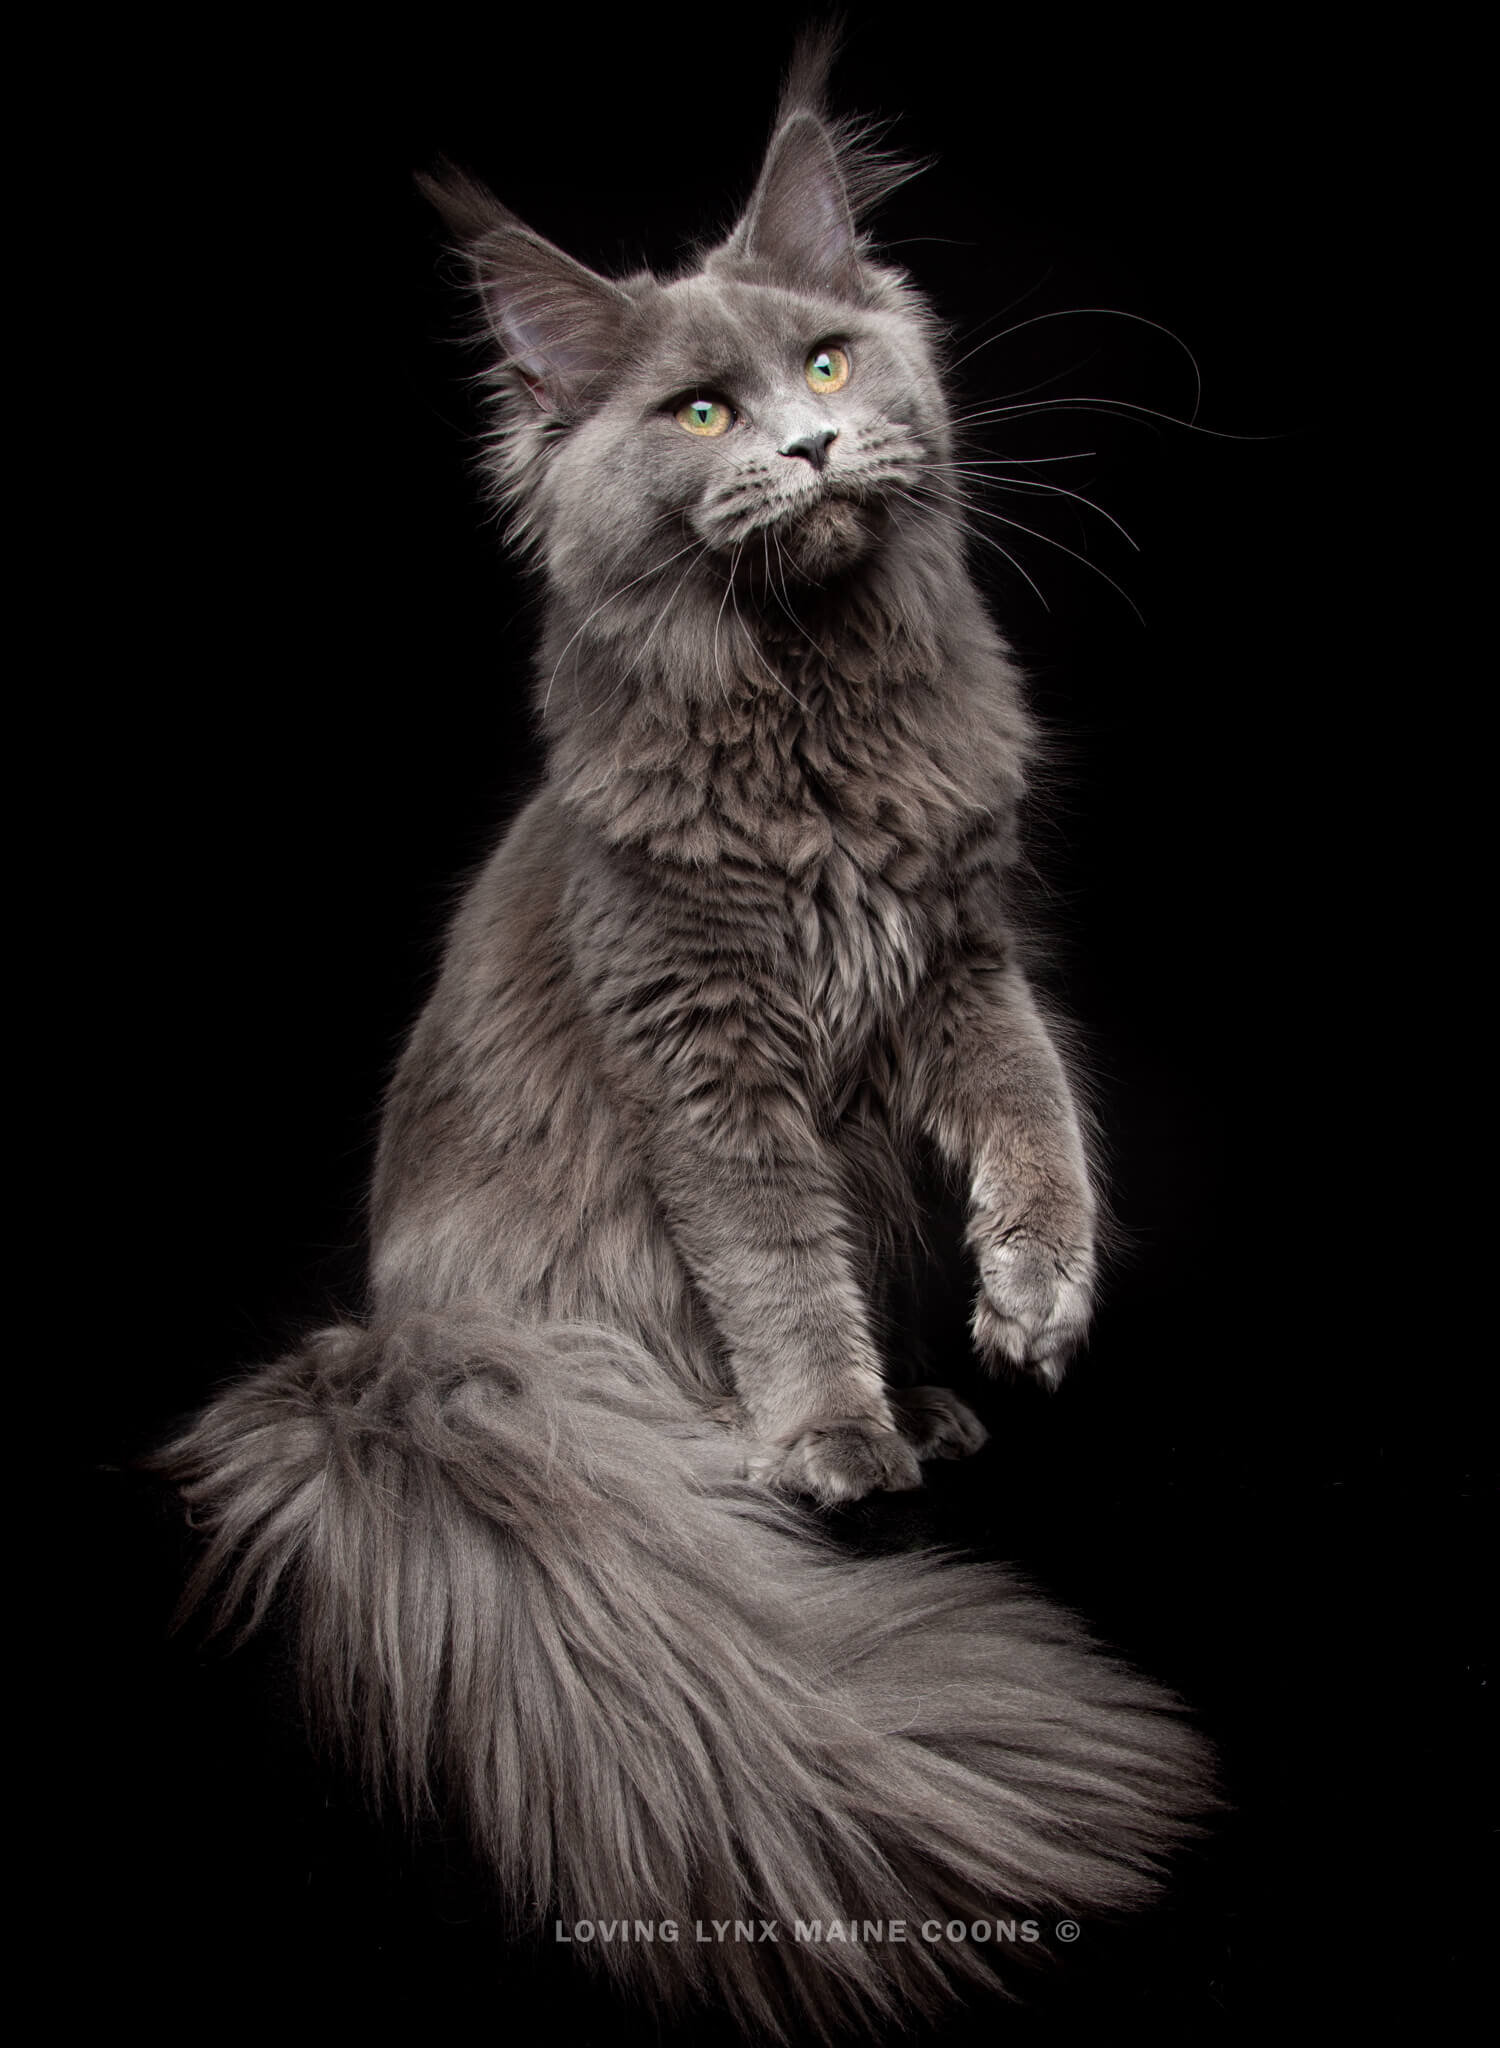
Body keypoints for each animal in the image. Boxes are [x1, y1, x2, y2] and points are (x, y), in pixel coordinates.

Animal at [167, 39, 1221, 2039]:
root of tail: (404, 1361)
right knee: (698, 1386)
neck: (813, 723)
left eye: (830, 368)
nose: (804, 451)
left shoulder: (962, 965)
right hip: (592, 1303)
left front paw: (1037, 1300)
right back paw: (815, 1442)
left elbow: (1044, 1120)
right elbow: (780, 1267)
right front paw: (833, 1433)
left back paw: (943, 1395)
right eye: (704, 413)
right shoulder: (702, 1044)